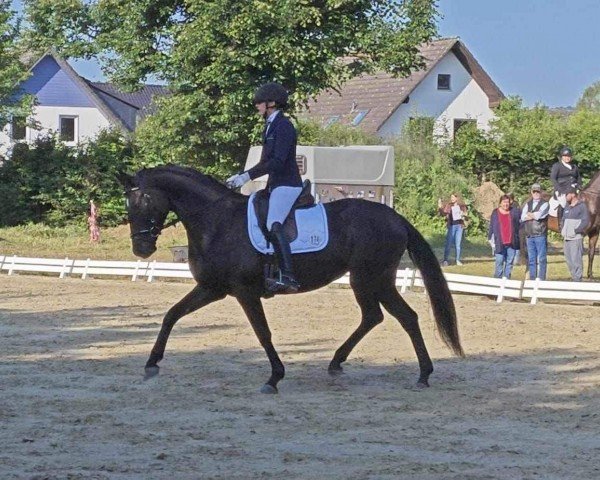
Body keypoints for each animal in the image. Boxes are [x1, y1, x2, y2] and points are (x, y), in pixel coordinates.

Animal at [118, 166, 464, 394]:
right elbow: (171, 315)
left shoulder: (244, 292)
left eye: (143, 200)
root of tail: (395, 218)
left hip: (373, 278)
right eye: (128, 203)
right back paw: (337, 363)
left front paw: (274, 378)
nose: (141, 249)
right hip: (366, 280)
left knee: (404, 317)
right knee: (374, 316)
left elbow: (263, 333)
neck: (216, 221)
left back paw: (423, 374)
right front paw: (151, 363)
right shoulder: (212, 288)